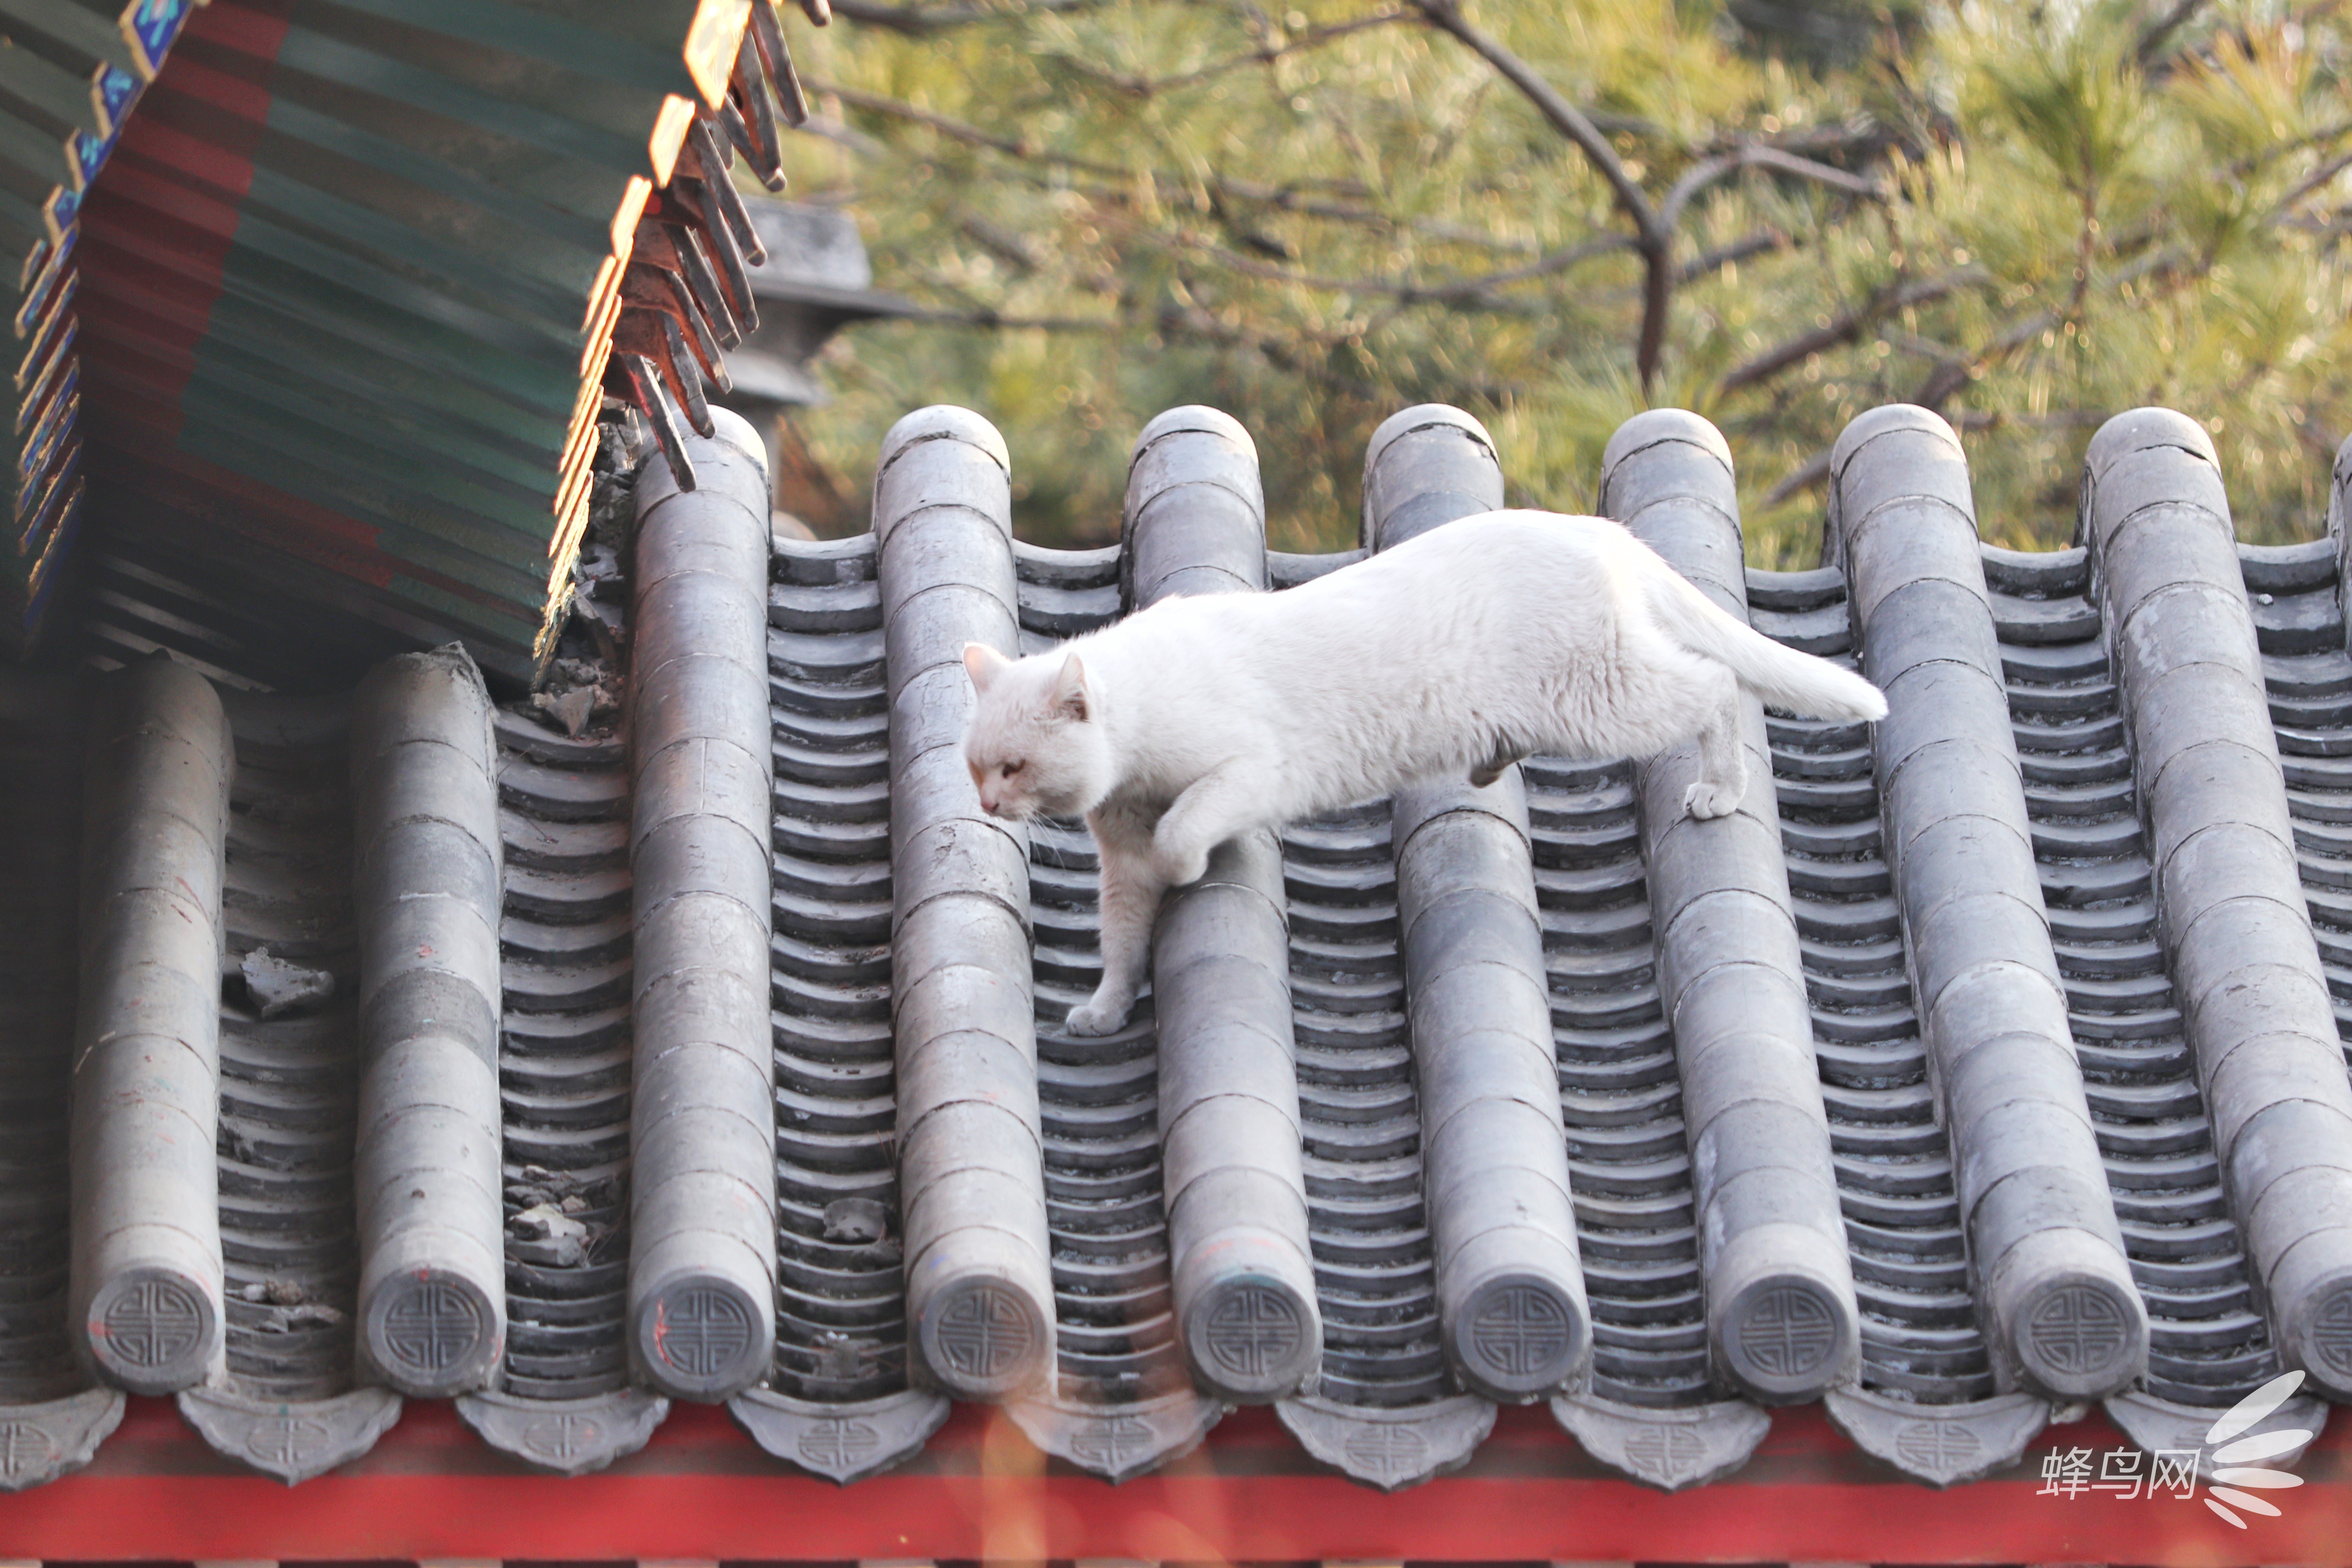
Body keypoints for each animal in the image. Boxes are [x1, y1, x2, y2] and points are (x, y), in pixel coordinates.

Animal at [959, 510, 1891, 1034]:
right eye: (974, 767)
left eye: (1014, 765)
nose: (987, 803)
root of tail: (1596, 527)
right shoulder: (1117, 862)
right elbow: (1119, 941)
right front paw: (1105, 1009)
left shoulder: (1251, 770)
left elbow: (1185, 830)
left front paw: (1185, 864)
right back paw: (1488, 763)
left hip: (1597, 698)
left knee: (1718, 685)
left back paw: (1720, 788)